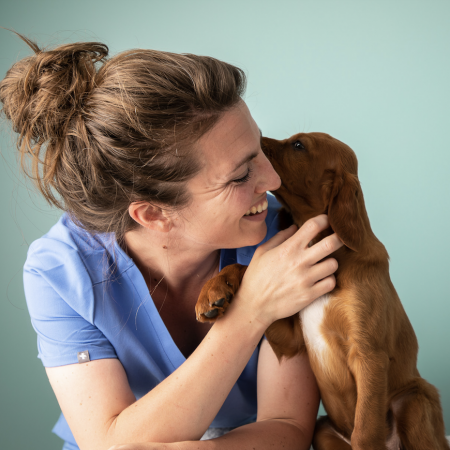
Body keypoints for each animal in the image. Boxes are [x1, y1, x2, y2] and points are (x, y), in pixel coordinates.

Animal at [197, 133, 450, 450]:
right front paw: (213, 290)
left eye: (298, 145)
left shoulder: (369, 355)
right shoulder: (291, 340)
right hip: (324, 431)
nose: (258, 139)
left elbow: (365, 431)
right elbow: (246, 269)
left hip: (415, 400)